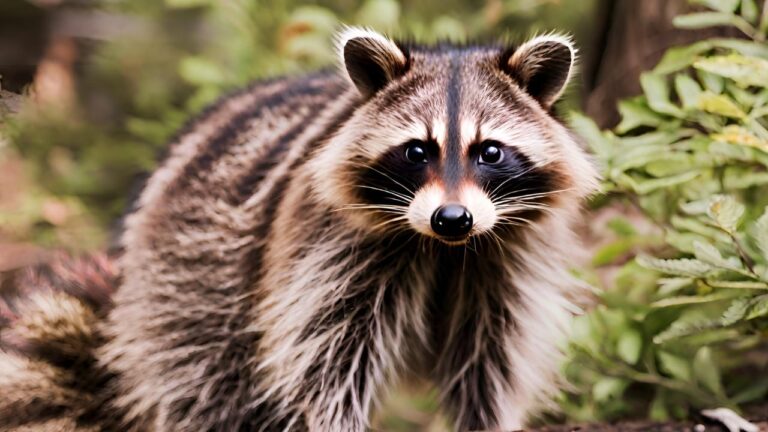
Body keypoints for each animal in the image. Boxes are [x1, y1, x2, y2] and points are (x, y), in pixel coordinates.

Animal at [0, 27, 598, 431]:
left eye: (489, 151)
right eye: (417, 151)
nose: (452, 217)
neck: (440, 247)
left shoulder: (503, 261)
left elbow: (491, 361)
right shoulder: (329, 250)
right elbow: (324, 365)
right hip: (187, 284)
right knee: (204, 384)